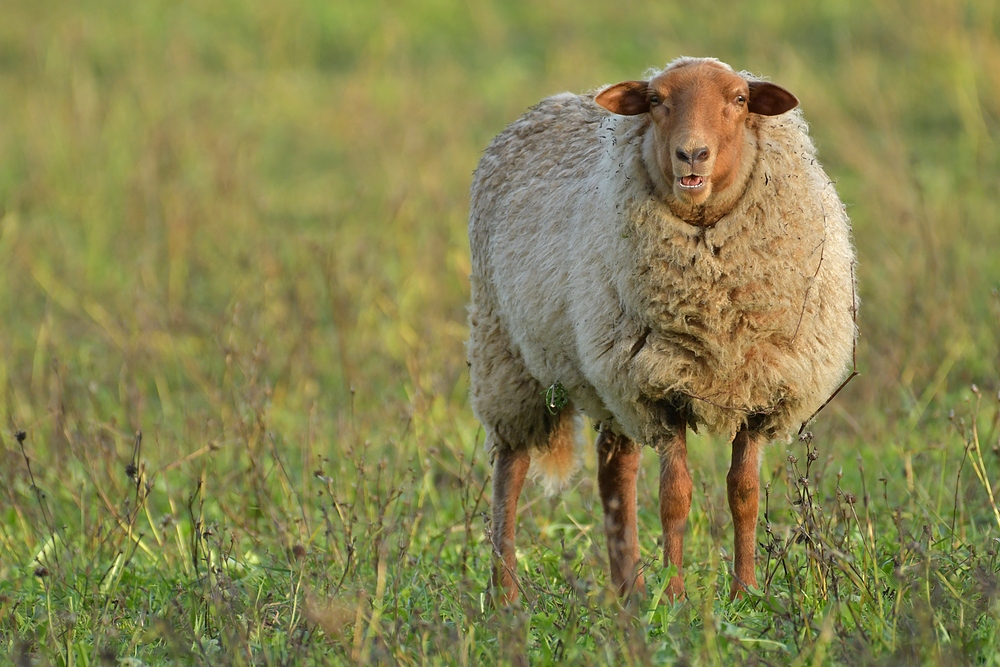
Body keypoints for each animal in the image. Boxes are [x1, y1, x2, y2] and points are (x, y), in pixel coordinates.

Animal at [464, 57, 856, 604]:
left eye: (739, 100)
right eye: (655, 100)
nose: (692, 154)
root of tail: (549, 103)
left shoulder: (761, 390)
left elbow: (744, 494)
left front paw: (745, 593)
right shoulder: (660, 388)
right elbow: (675, 496)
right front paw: (675, 598)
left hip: (606, 378)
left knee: (615, 471)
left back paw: (627, 591)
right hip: (506, 352)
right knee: (511, 469)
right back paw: (506, 594)